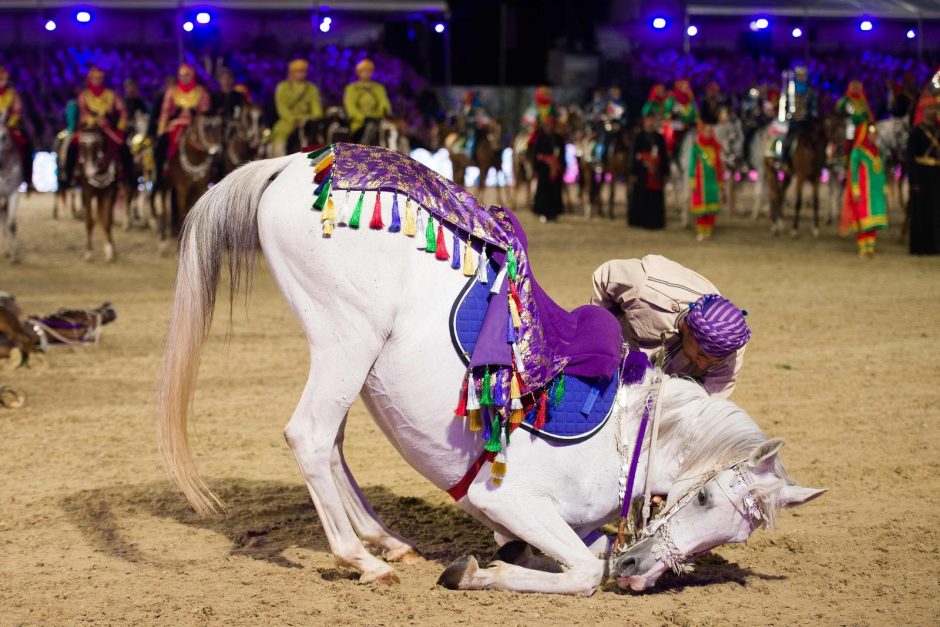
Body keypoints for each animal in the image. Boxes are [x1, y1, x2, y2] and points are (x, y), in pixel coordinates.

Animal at [76, 129, 120, 262]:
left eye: (98, 145)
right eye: (81, 146)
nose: (89, 172)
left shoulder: (109, 191)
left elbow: (107, 221)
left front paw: (110, 251)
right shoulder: (87, 191)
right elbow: (90, 221)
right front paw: (88, 252)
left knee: (104, 218)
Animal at [160, 150, 824, 596]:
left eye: (734, 535)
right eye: (705, 495)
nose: (639, 573)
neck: (627, 437)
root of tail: (294, 164)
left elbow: (588, 552)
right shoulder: (508, 500)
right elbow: (584, 570)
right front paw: (480, 570)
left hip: (345, 357)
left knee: (333, 446)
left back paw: (388, 543)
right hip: (347, 340)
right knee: (310, 436)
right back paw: (363, 559)